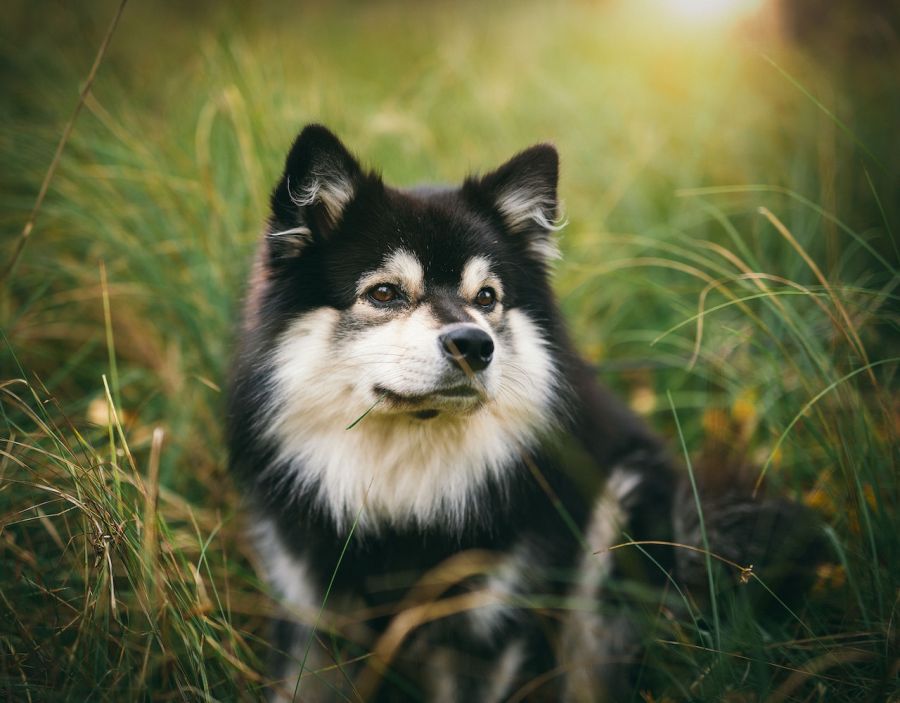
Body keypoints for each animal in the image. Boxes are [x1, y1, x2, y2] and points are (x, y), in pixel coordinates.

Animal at [229, 124, 828, 700]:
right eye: (384, 293)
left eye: (487, 298)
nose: (474, 345)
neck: (407, 494)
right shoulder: (312, 624)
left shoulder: (484, 633)